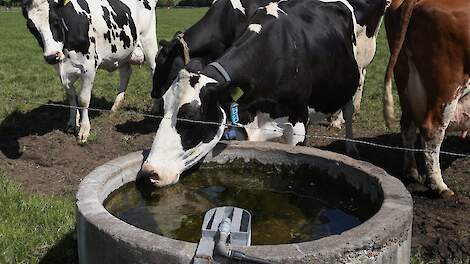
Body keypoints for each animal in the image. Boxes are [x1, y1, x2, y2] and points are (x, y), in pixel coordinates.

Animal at [21, 0, 158, 142]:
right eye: (31, 27)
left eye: (56, 20)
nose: (52, 56)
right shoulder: (61, 70)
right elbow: (71, 96)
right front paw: (72, 123)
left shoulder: (89, 66)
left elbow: (83, 99)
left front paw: (84, 130)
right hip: (123, 53)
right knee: (125, 74)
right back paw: (115, 107)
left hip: (148, 42)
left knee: (154, 69)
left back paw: (155, 108)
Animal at [140, 0, 390, 188]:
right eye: (165, 109)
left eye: (190, 118)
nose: (149, 172)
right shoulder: (244, 119)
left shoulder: (298, 122)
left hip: (358, 71)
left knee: (348, 109)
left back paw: (349, 143)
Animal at [384, 0, 468, 197]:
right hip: (447, 87)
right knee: (432, 129)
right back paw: (439, 186)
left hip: (405, 80)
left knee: (407, 125)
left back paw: (412, 171)